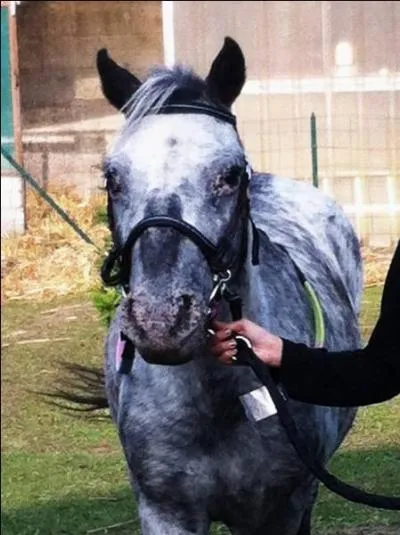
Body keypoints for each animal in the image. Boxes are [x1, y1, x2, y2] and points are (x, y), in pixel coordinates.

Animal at [76, 37, 366, 535]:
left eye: (229, 174)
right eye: (112, 178)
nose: (161, 321)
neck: (221, 403)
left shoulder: (279, 511)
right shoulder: (166, 512)